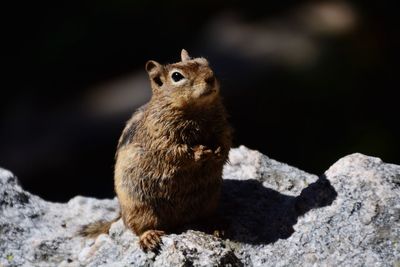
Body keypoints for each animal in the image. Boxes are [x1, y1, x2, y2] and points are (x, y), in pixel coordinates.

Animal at [79, 49, 231, 252]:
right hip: (141, 208)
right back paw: (149, 237)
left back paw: (217, 224)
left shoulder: (222, 125)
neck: (197, 110)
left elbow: (225, 140)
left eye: (205, 62)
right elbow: (174, 151)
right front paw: (200, 152)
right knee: (139, 228)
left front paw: (219, 151)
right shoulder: (159, 136)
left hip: (210, 200)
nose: (210, 77)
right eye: (177, 76)